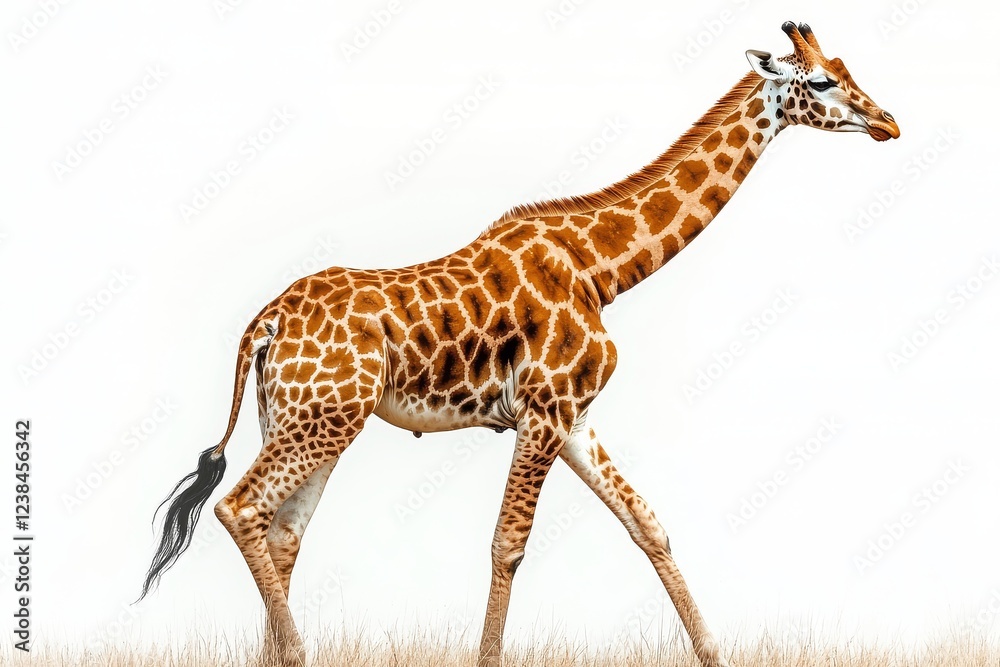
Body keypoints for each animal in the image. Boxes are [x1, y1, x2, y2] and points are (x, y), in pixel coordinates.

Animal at [140, 21, 898, 667]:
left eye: (846, 67)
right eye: (821, 81)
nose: (888, 122)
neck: (602, 268)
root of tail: (263, 323)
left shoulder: (575, 416)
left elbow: (647, 522)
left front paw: (713, 651)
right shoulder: (543, 408)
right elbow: (509, 544)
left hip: (300, 416)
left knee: (281, 531)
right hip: (325, 416)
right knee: (241, 507)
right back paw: (299, 653)